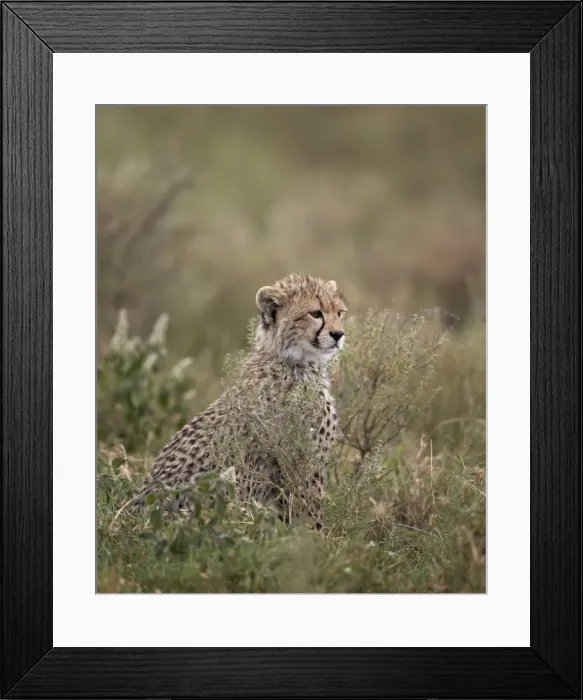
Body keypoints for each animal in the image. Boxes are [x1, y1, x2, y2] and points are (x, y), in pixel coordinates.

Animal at [127, 273, 347, 529]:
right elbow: (311, 515)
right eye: (315, 313)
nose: (338, 335)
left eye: (339, 312)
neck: (292, 360)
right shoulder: (303, 466)